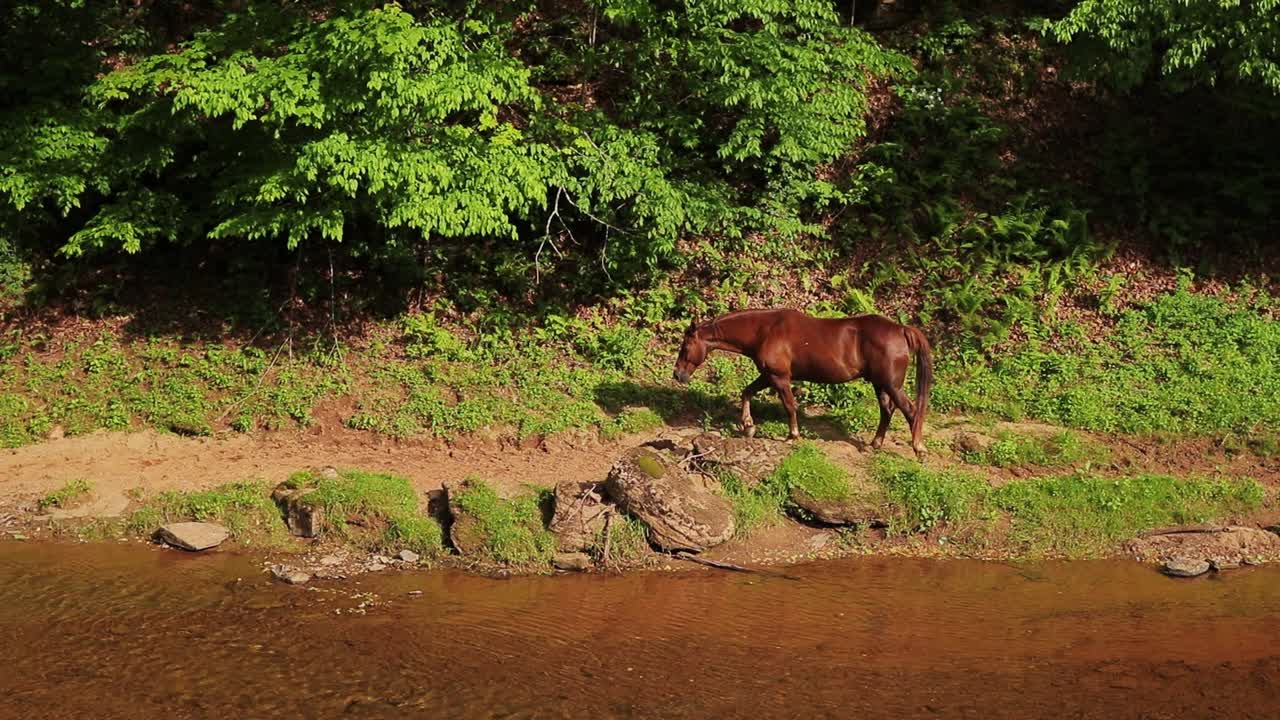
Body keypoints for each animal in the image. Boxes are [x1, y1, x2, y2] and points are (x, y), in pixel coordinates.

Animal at [672, 308, 933, 458]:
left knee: (910, 411)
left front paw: (793, 435)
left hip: (891, 385)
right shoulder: (768, 375)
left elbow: (789, 405)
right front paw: (748, 425)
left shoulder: (779, 377)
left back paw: (918, 449)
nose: (677, 374)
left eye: (685, 348)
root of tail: (901, 329)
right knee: (887, 410)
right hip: (880, 384)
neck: (764, 330)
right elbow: (746, 392)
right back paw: (875, 444)